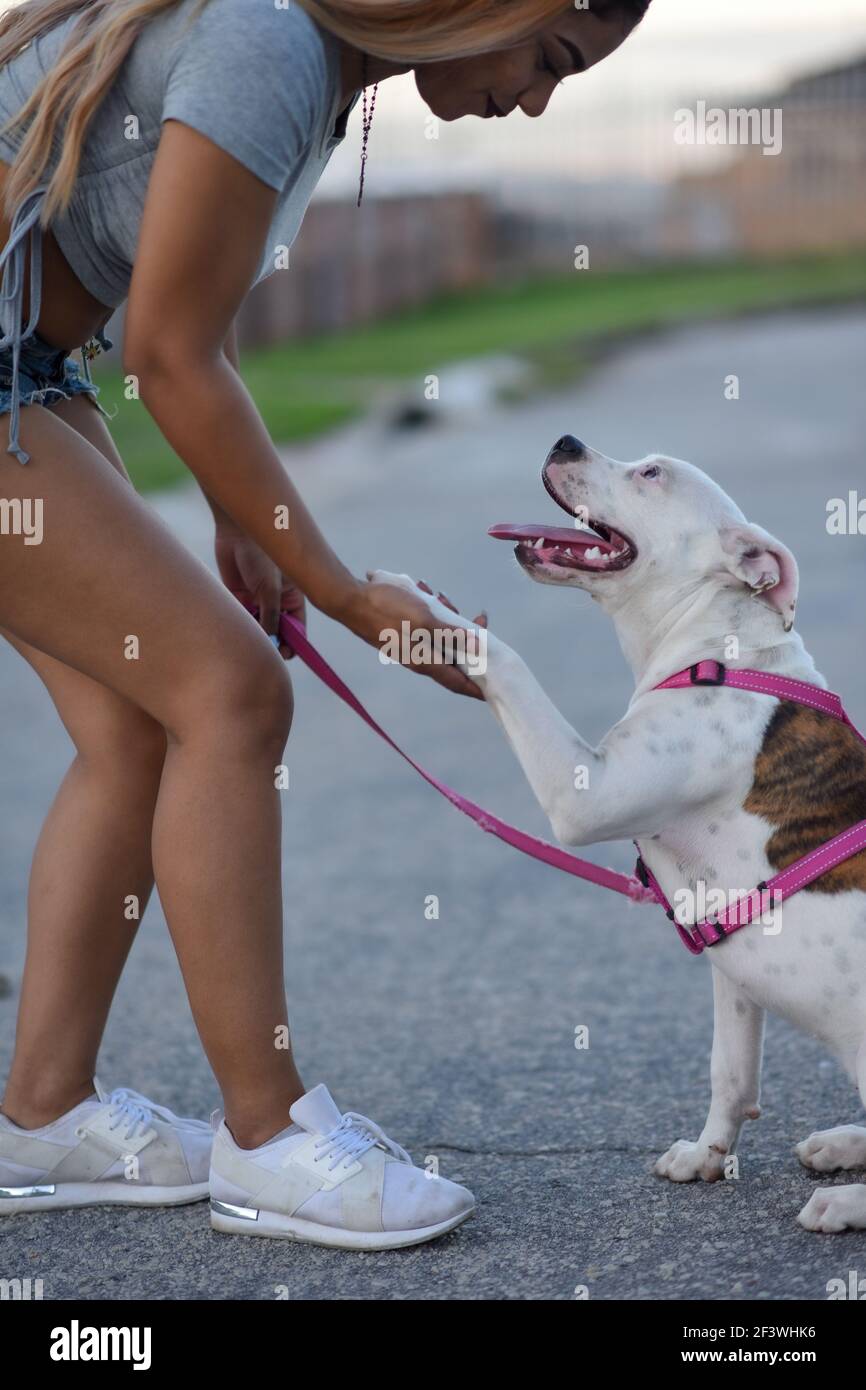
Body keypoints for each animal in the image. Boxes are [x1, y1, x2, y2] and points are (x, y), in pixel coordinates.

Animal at [372, 436, 866, 1239]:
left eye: (651, 473)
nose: (564, 440)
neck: (718, 649)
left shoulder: (588, 794)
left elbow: (506, 658)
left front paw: (423, 608)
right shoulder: (732, 970)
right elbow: (730, 1071)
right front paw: (706, 1155)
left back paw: (848, 1199)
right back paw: (845, 1144)